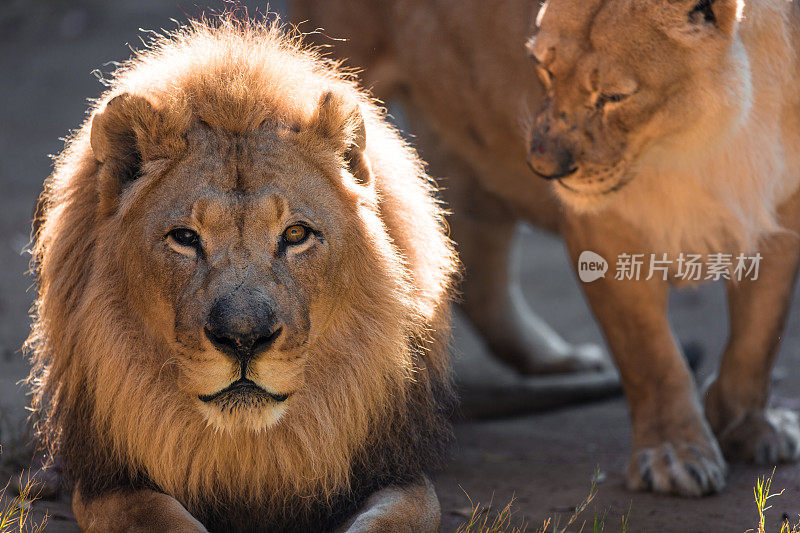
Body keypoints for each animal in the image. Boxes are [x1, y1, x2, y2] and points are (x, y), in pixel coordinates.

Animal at [28, 17, 456, 532]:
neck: (248, 453)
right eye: (185, 238)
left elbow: (392, 520)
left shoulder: (398, 472)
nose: (244, 339)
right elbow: (163, 518)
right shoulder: (110, 485)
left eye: (296, 234)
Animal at [294, 0, 800, 494]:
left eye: (615, 97)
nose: (541, 168)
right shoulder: (606, 230)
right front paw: (675, 454)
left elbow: (759, 336)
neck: (708, 141)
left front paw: (748, 427)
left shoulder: (782, 209)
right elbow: (652, 355)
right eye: (542, 67)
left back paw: (562, 361)